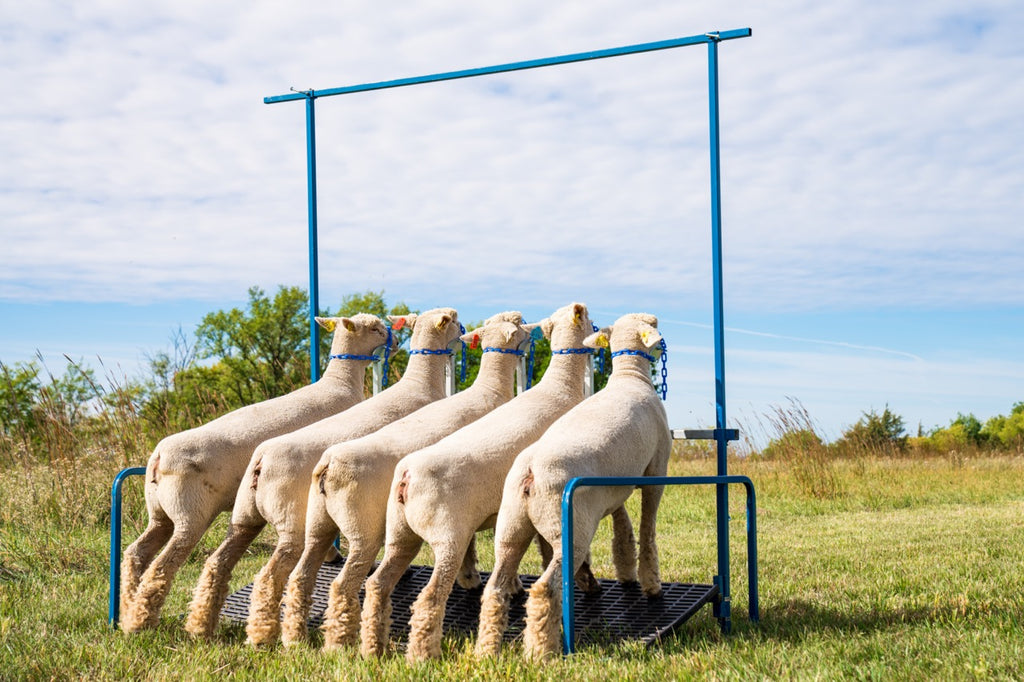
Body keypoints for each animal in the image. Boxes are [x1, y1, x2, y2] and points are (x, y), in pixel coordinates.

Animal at [119, 313, 390, 633]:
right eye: (374, 328)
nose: (392, 337)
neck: (340, 382)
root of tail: (158, 457)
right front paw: (333, 556)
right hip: (190, 513)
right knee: (162, 564)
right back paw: (142, 621)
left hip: (159, 513)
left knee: (136, 553)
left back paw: (127, 609)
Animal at [183, 308, 461, 645]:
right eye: (375, 328)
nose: (394, 342)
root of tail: (261, 462)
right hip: (292, 520)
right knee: (273, 574)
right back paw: (267, 633)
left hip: (244, 515)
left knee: (217, 562)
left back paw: (200, 627)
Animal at [278, 311, 532, 650]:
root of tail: (328, 466)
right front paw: (491, 580)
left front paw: (469, 576)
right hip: (362, 528)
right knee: (344, 583)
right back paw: (340, 642)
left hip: (318, 523)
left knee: (300, 575)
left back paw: (294, 637)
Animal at [359, 302, 598, 663]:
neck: (559, 387)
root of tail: (407, 477)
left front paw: (504, 582)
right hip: (448, 535)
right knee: (429, 597)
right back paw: (422, 655)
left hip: (400, 533)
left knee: (376, 584)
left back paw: (372, 648)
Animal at [475, 313, 671, 660]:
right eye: (654, 324)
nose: (664, 345)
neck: (630, 376)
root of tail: (530, 473)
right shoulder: (655, 471)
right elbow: (647, 530)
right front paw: (651, 584)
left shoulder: (614, 489)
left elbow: (623, 525)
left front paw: (626, 568)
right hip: (569, 532)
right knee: (544, 588)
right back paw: (540, 652)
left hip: (510, 528)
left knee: (495, 587)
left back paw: (486, 650)